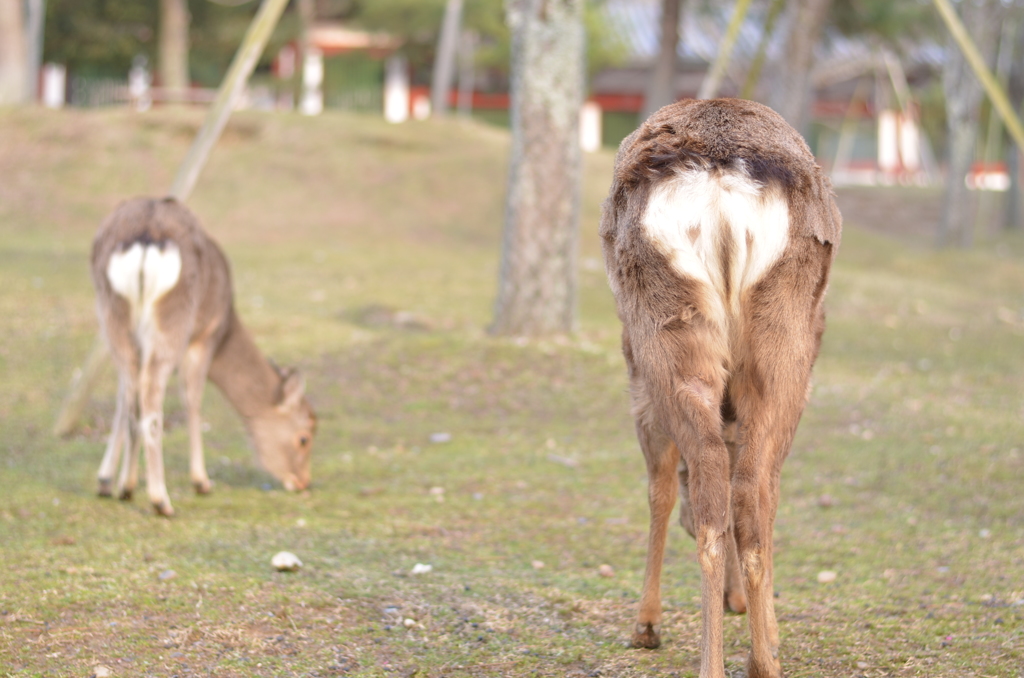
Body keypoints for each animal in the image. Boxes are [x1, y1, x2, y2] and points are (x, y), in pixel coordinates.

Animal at [92, 199, 315, 518]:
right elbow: (193, 399)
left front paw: (106, 480)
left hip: (111, 315)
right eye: (304, 438)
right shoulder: (204, 338)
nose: (303, 482)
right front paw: (201, 481)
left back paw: (127, 486)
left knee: (133, 392)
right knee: (151, 397)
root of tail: (147, 237)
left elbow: (123, 399)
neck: (227, 323)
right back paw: (161, 499)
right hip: (174, 321)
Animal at [598, 96, 839, 678]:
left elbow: (661, 487)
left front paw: (646, 625)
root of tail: (719, 179)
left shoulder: (637, 379)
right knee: (749, 489)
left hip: (664, 327)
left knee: (714, 481)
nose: (734, 602)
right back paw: (761, 659)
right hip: (782, 340)